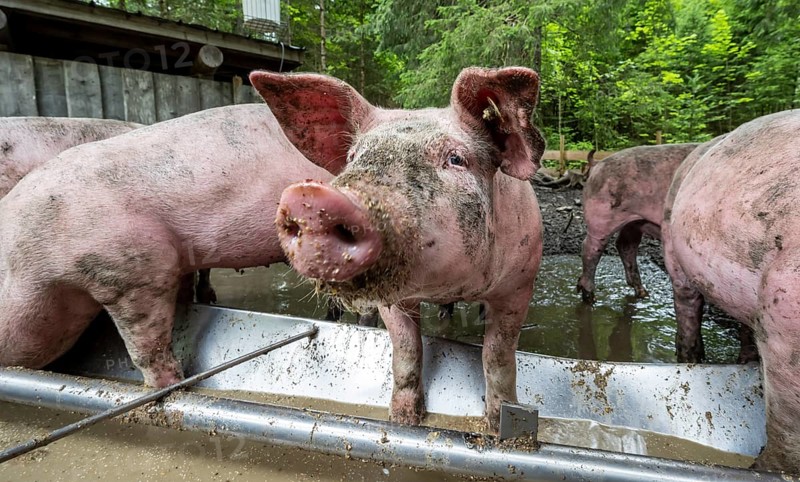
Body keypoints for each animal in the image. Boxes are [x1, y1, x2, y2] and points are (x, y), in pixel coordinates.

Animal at [260, 66, 545, 431]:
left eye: (456, 158)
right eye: (353, 157)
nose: (310, 198)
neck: (446, 285)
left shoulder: (519, 285)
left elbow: (498, 355)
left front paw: (498, 426)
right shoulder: (394, 300)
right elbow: (407, 349)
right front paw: (403, 420)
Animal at [661, 110, 800, 473]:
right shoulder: (782, 316)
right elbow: (787, 438)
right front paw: (760, 469)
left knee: (745, 326)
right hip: (672, 235)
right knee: (687, 304)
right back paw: (691, 358)